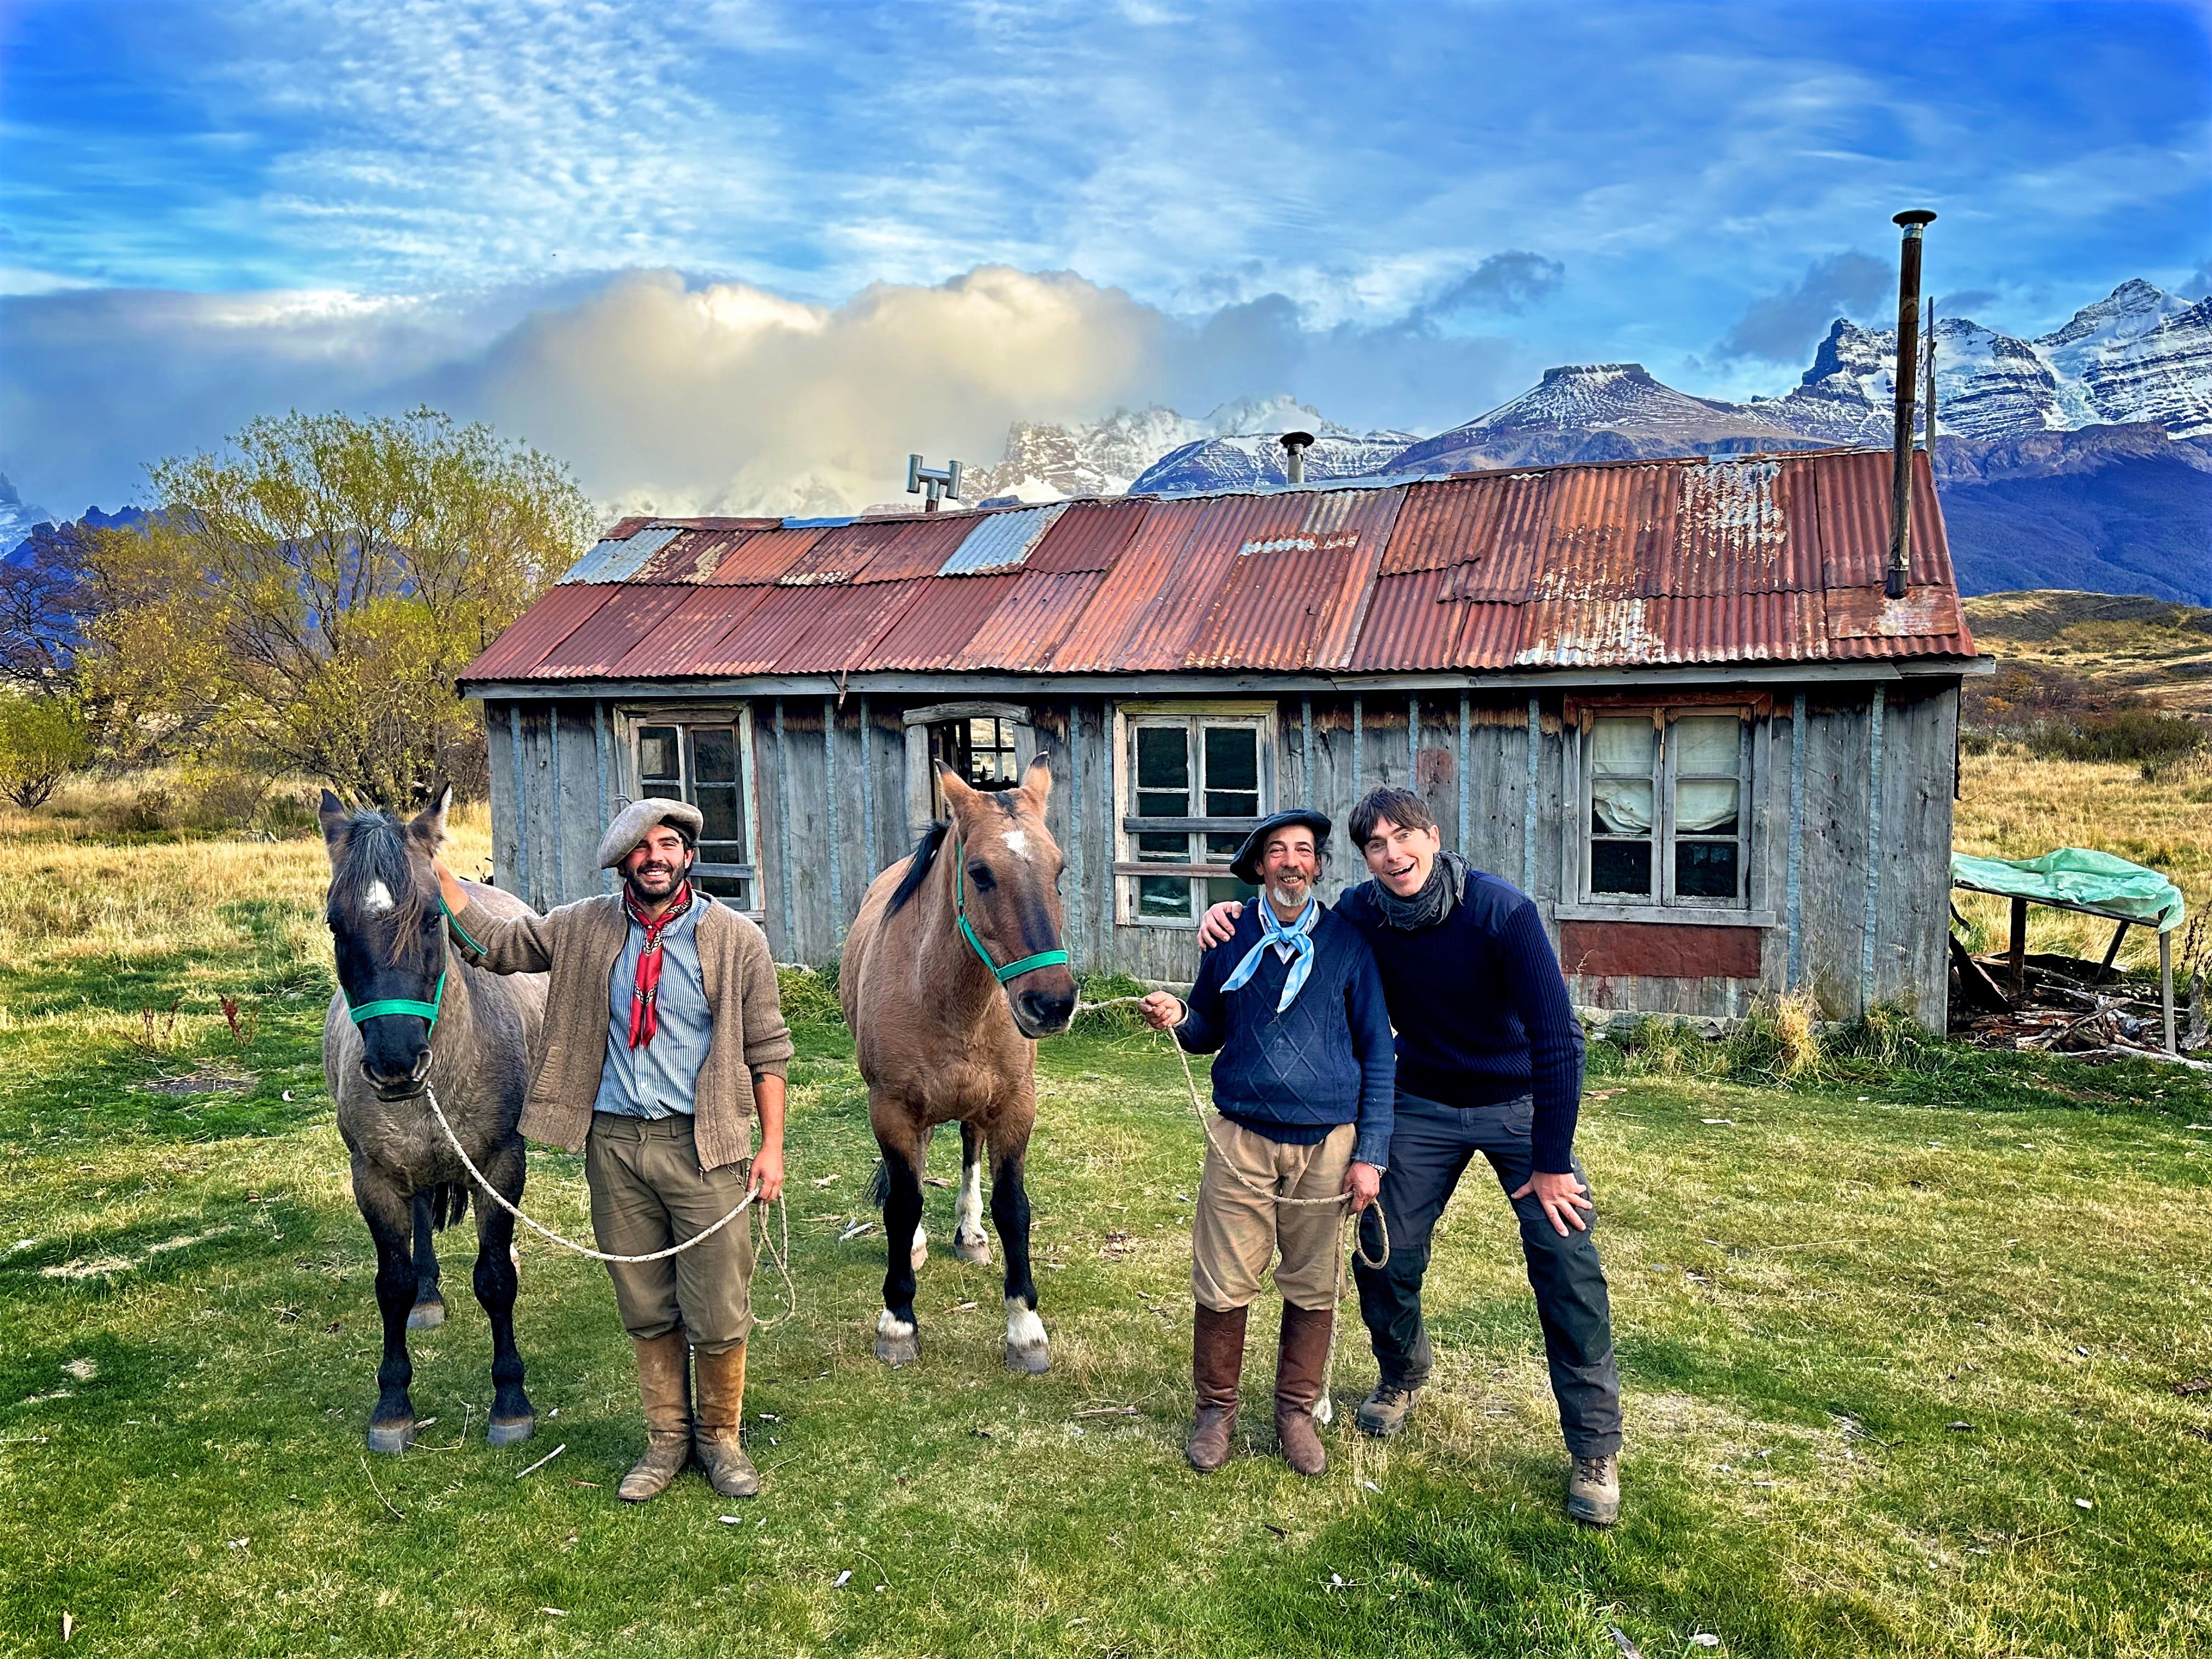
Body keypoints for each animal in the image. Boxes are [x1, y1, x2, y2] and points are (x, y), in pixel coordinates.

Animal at [318, 792, 546, 1451]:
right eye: (336, 924)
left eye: (428, 919)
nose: (395, 1062)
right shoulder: (373, 1177)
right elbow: (390, 1286)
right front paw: (393, 1405)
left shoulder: (502, 1162)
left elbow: (495, 1278)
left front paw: (510, 1402)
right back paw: (428, 1295)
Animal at [840, 761, 1084, 1371]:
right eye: (980, 873)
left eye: (1059, 869)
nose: (1051, 1003)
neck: (948, 998)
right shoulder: (892, 1109)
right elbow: (903, 1203)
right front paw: (898, 1322)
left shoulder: (1016, 1105)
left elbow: (1012, 1207)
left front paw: (1025, 1330)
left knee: (970, 1153)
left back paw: (969, 1234)